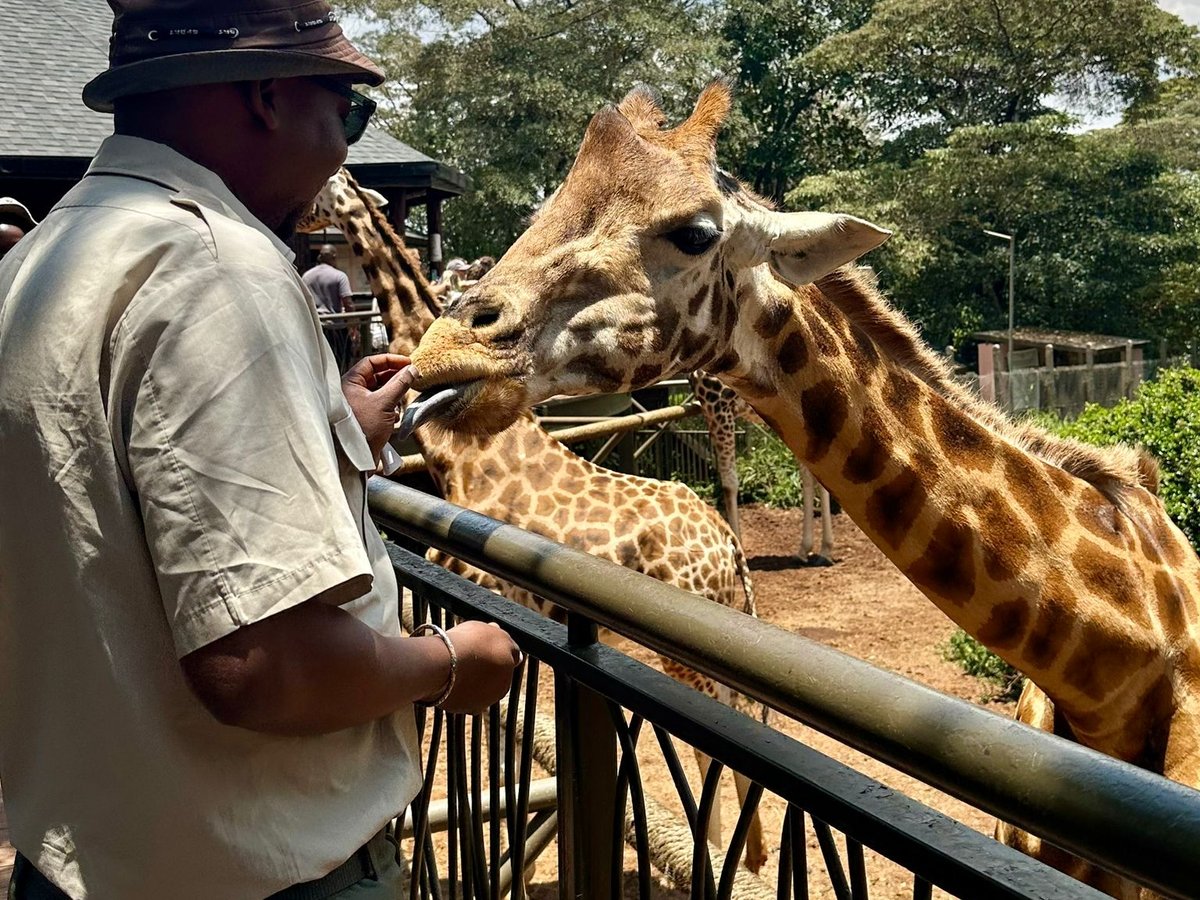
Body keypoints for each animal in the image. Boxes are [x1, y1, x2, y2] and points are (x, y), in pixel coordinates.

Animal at [309, 168, 769, 872]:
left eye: (329, 186)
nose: (304, 221)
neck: (464, 450)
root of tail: (729, 550)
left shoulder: (480, 592)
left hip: (690, 658)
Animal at [690, 371, 835, 565]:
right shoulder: (709, 409)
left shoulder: (718, 403)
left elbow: (729, 484)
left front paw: (738, 549)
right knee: (811, 475)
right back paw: (809, 550)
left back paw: (824, 550)